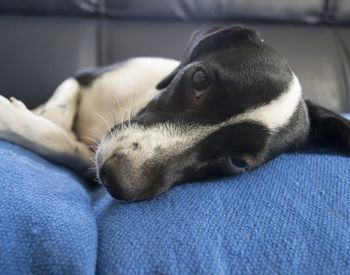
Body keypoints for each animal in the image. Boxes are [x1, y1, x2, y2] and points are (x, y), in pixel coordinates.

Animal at [0, 25, 350, 202]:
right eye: (199, 79)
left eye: (238, 161)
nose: (116, 180)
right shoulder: (86, 76)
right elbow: (61, 103)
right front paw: (40, 116)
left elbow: (66, 145)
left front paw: (18, 119)